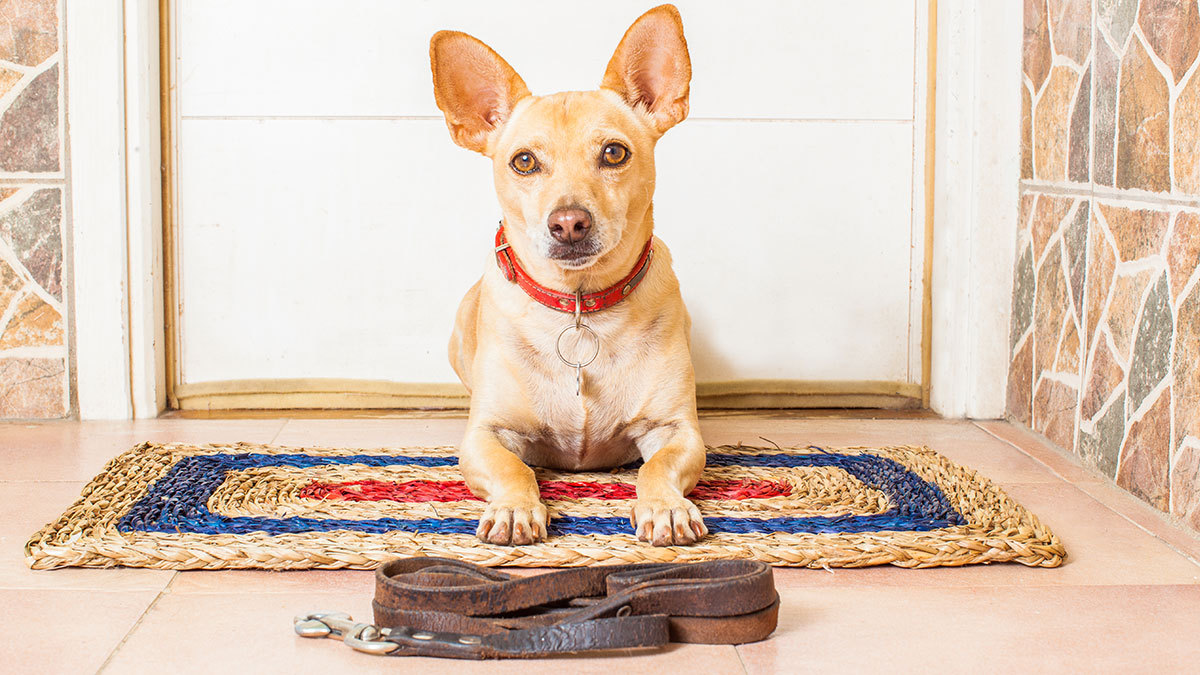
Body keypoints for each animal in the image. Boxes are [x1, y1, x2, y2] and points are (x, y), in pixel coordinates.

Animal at [432, 5, 705, 547]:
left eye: (615, 153)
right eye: (524, 161)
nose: (569, 223)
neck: (579, 307)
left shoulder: (678, 431)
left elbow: (656, 467)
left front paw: (664, 507)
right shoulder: (485, 437)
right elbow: (515, 468)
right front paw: (515, 508)